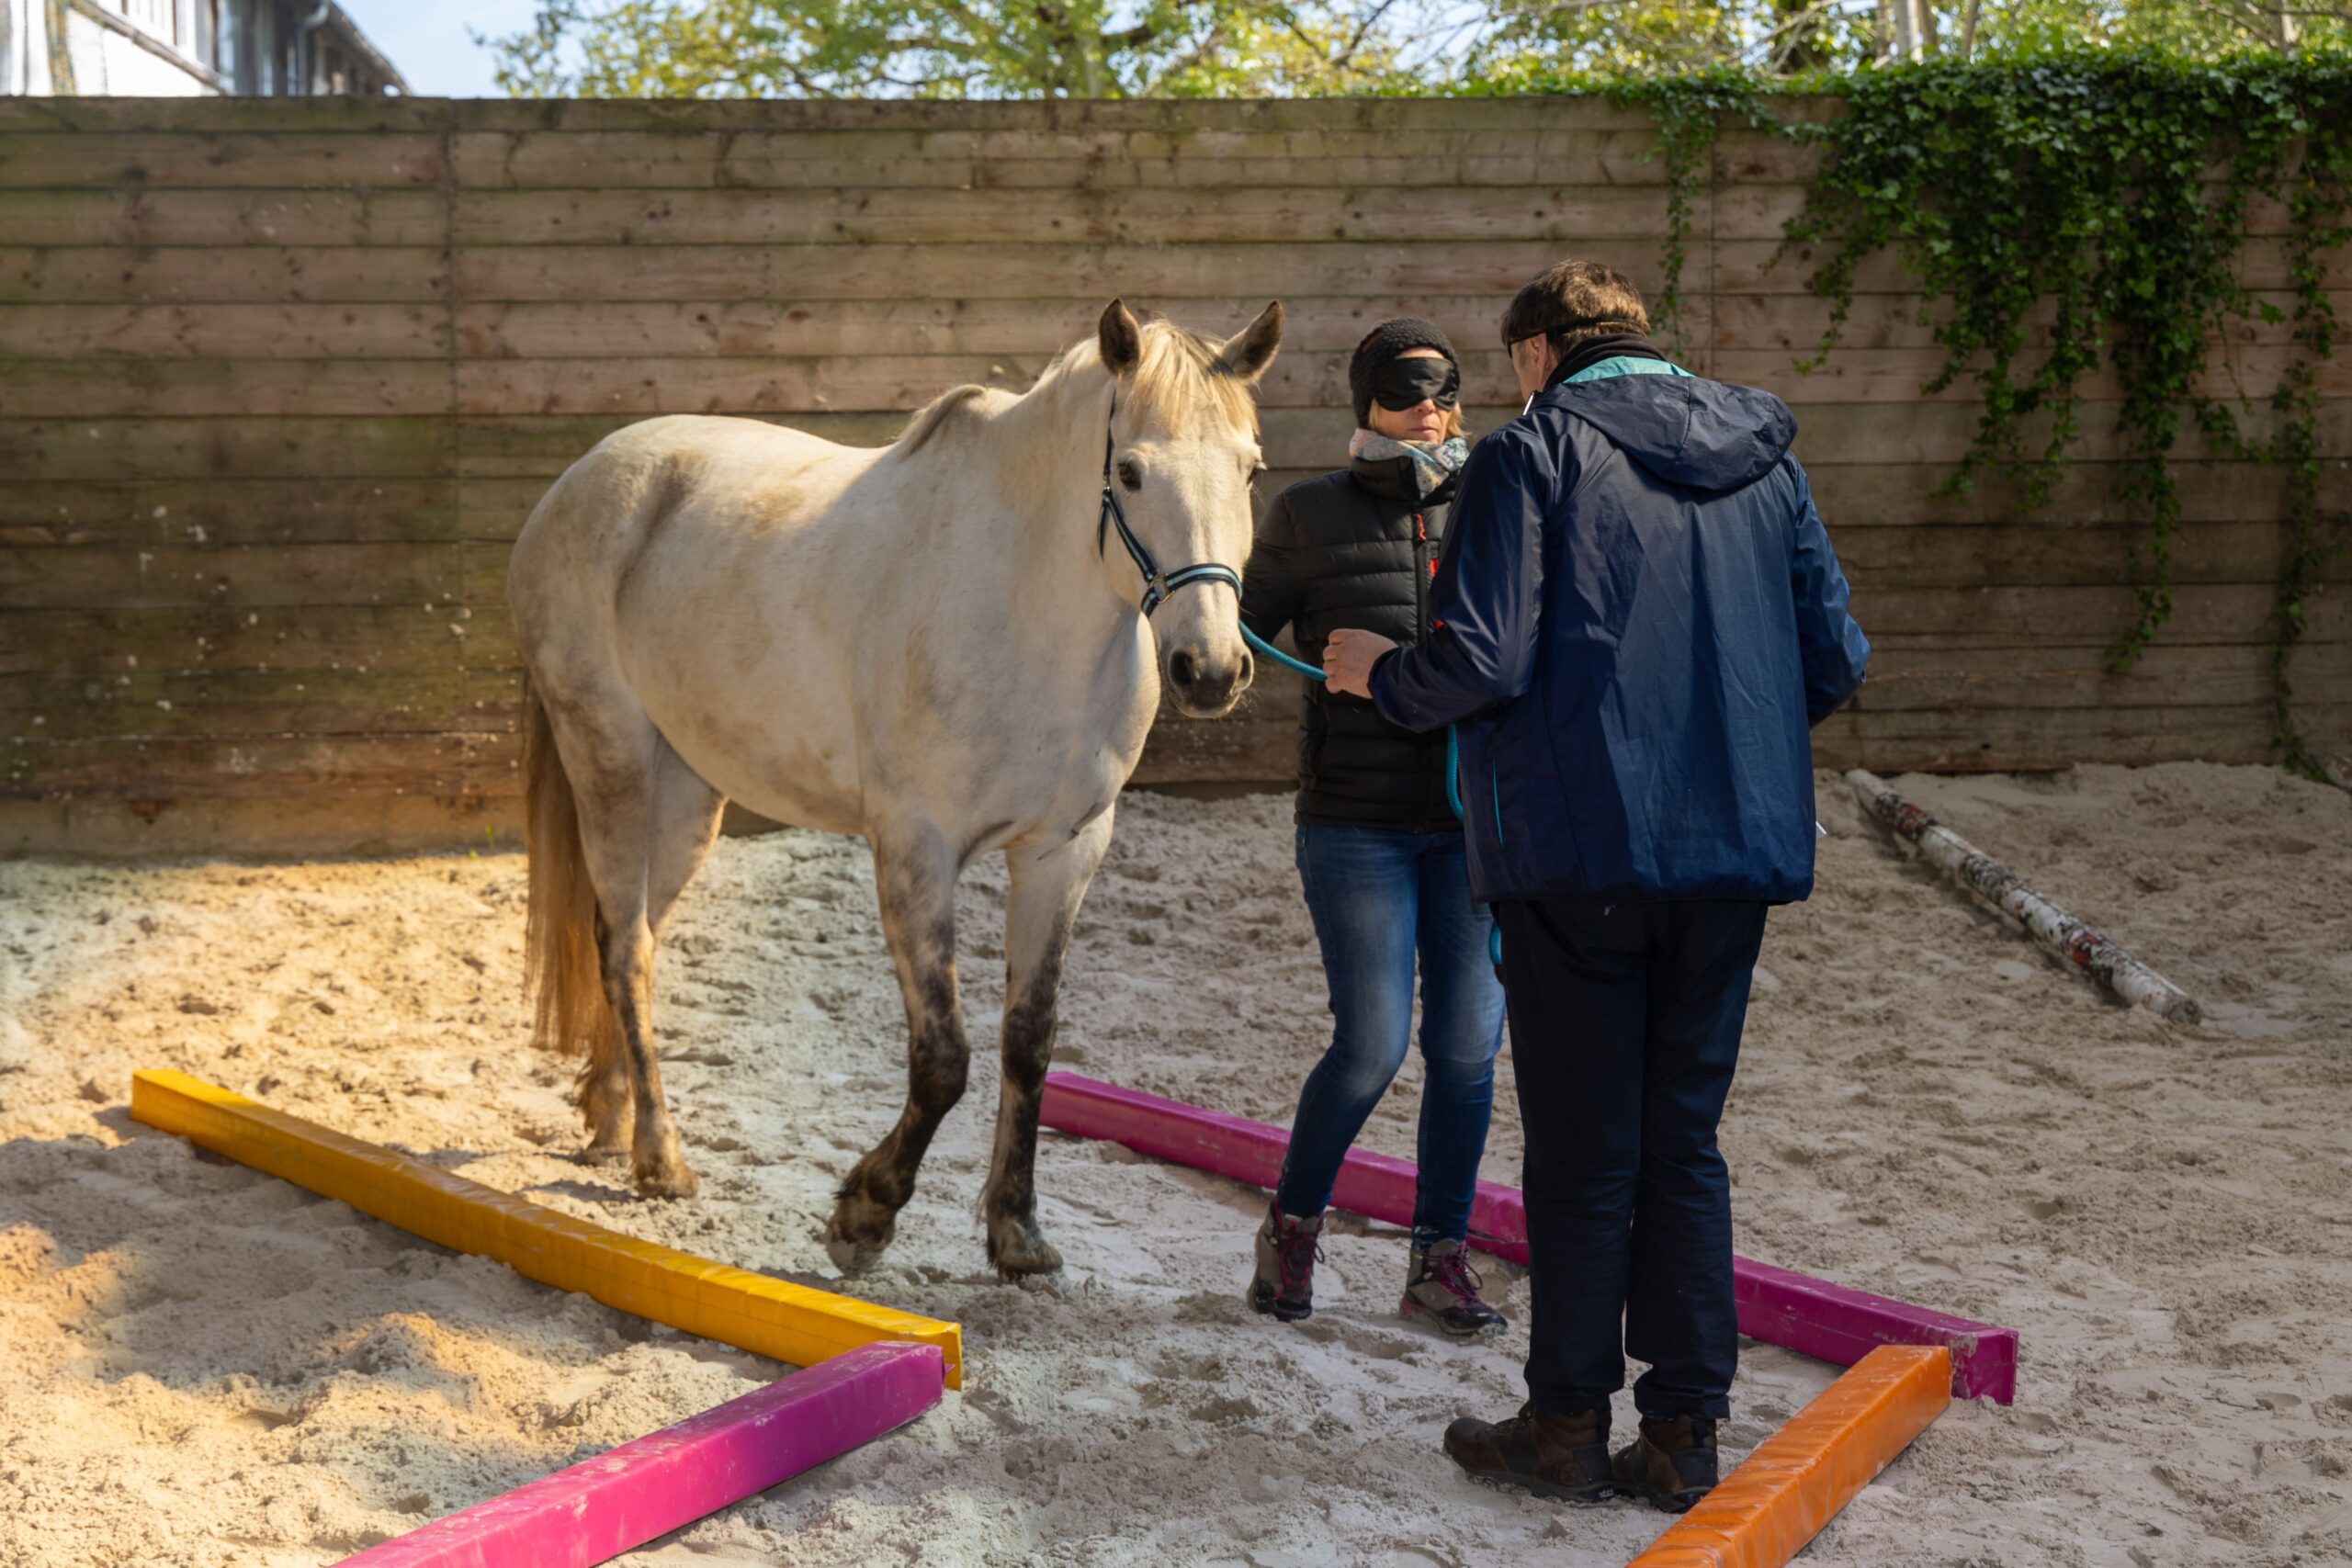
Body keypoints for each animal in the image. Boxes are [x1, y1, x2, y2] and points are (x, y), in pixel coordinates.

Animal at [503, 300, 1279, 1279]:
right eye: (1131, 472)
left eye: (1251, 469)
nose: (1210, 670)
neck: (1021, 613)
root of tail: (581, 478)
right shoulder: (916, 848)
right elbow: (943, 1056)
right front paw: (864, 1215)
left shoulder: (1065, 852)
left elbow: (1030, 1040)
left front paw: (1018, 1232)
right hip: (611, 760)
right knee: (624, 949)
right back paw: (659, 1155)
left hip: (687, 796)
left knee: (627, 934)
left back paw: (610, 1118)